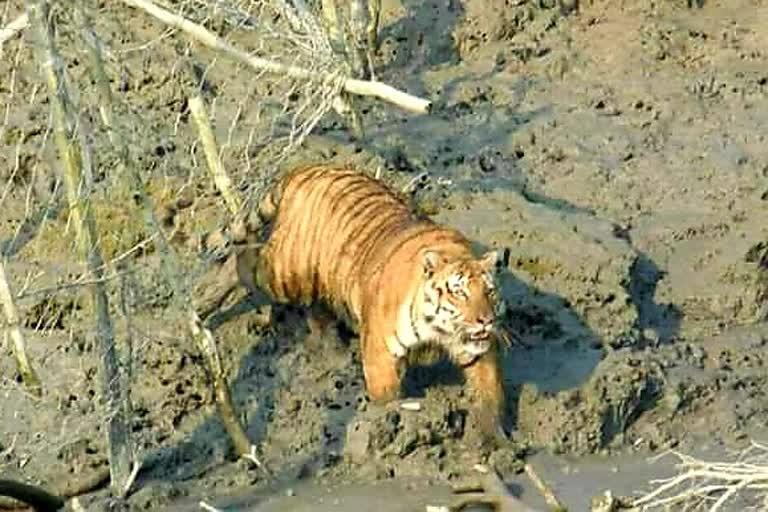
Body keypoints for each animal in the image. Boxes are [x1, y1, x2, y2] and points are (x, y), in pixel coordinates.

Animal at [207, 165, 512, 444]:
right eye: (459, 293)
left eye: (490, 292)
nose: (486, 320)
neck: (439, 330)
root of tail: (303, 169)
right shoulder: (380, 350)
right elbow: (386, 393)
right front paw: (396, 417)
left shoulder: (477, 352)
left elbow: (489, 393)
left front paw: (496, 442)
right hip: (285, 274)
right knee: (243, 259)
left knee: (316, 311)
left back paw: (332, 351)